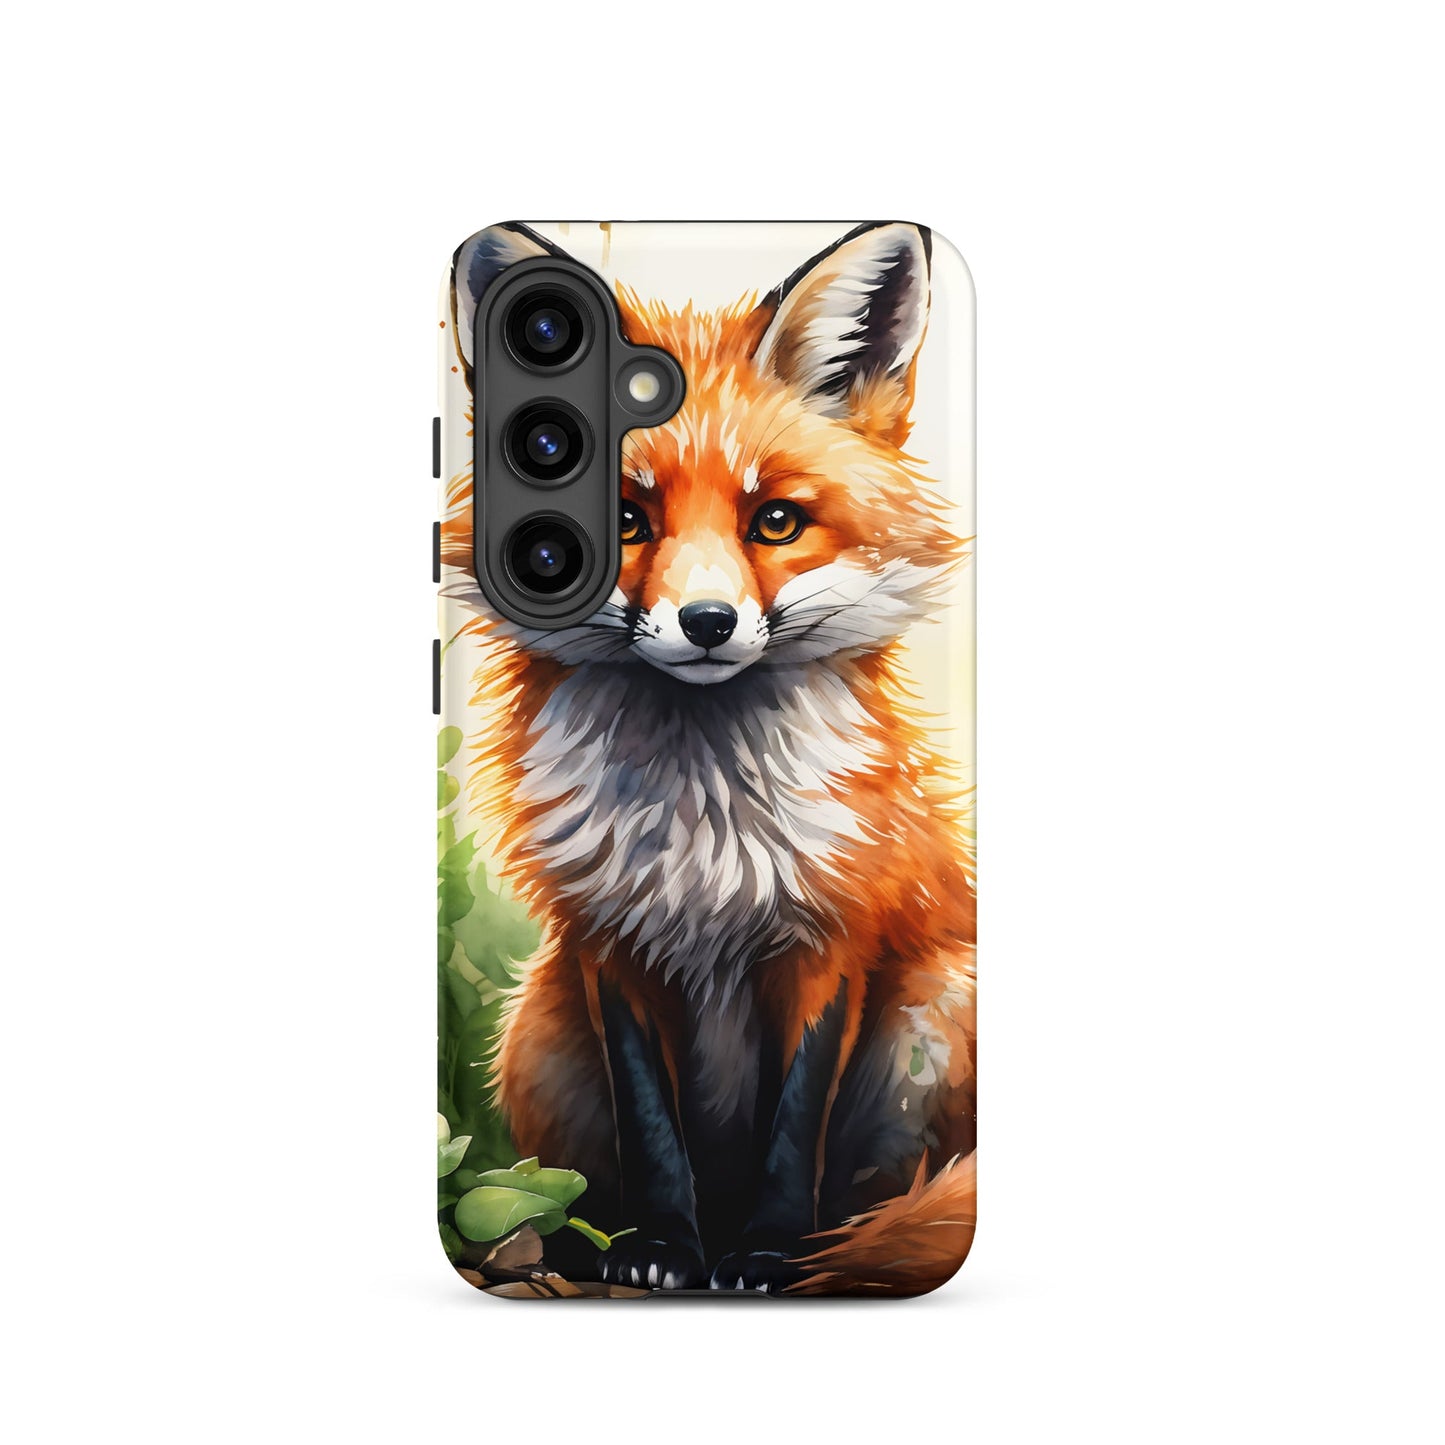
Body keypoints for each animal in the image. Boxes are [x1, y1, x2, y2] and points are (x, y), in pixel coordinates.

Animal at [441, 221, 976, 1294]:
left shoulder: (831, 936)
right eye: (625, 521)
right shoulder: (607, 942)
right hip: (536, 1025)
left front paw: (765, 1250)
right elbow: (652, 1126)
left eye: (774, 519)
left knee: (880, 1204)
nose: (707, 623)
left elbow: (794, 1125)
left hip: (936, 1011)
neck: (705, 833)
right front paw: (661, 1248)